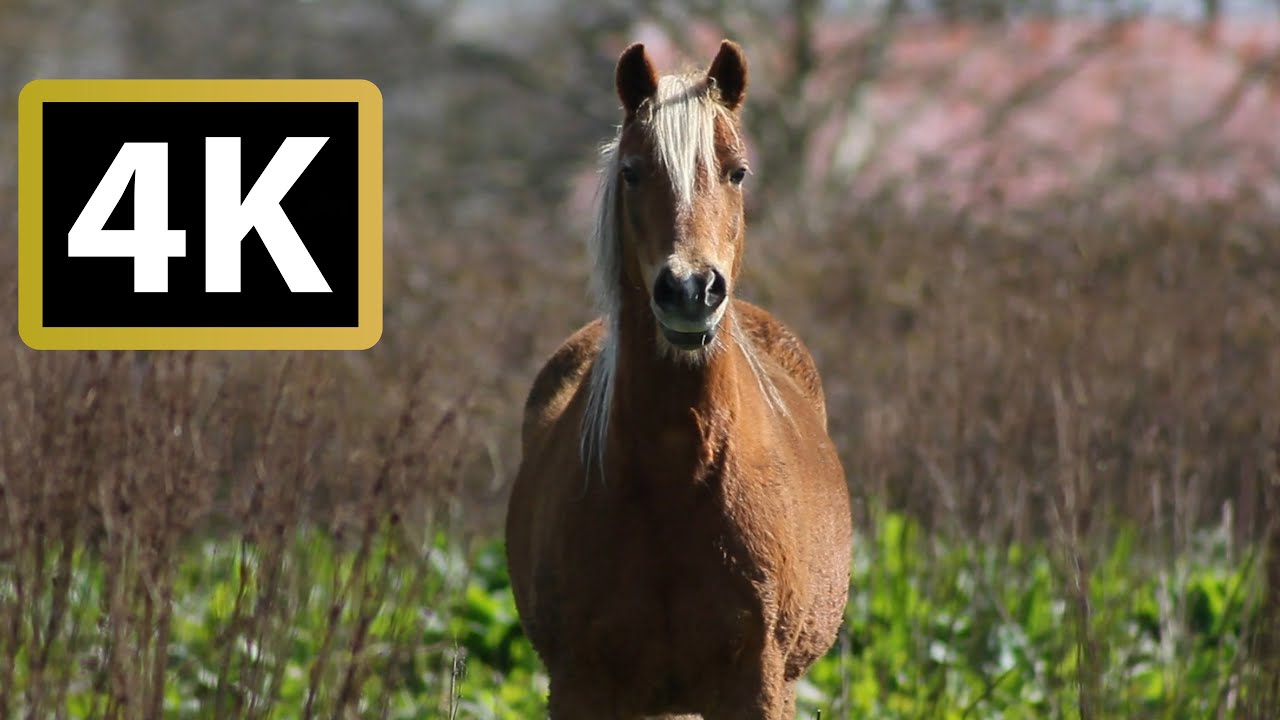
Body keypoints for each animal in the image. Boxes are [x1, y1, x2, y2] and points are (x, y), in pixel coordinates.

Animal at [504, 39, 853, 720]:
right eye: (633, 171)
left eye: (737, 171)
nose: (692, 290)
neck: (677, 469)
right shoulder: (579, 683)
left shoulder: (759, 682)